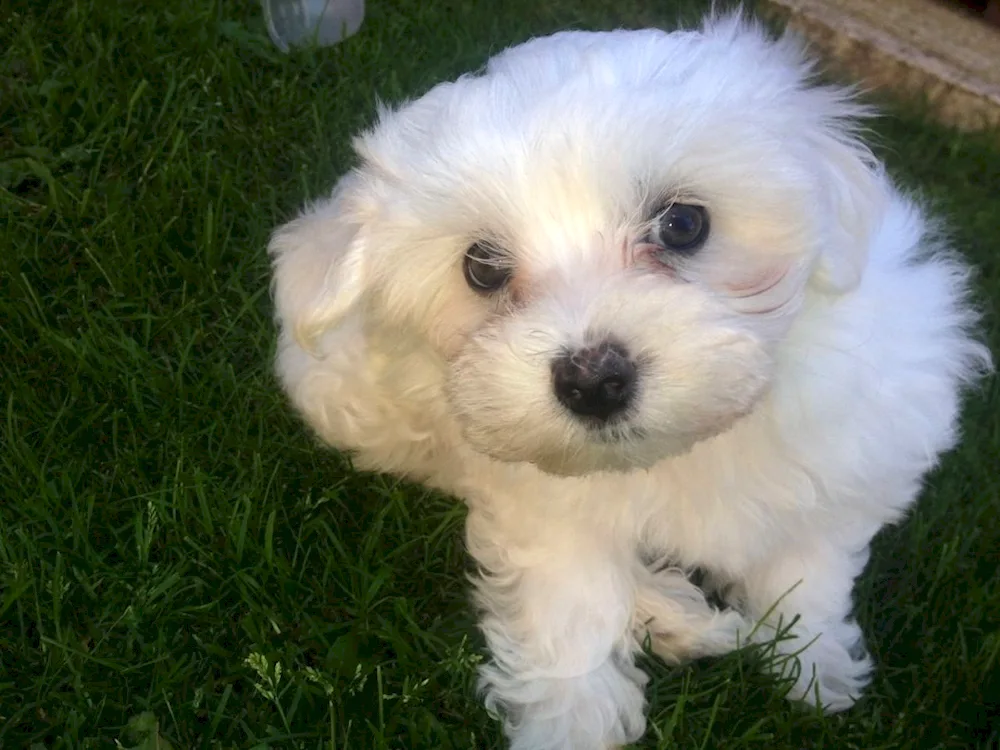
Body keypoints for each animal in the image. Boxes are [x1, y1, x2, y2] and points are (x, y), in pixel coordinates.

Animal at [268, 13, 992, 750]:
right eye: (482, 268)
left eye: (683, 224)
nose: (592, 381)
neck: (687, 445)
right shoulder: (541, 504)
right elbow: (570, 600)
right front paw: (573, 720)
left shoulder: (858, 445)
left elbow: (809, 564)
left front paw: (811, 663)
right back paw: (679, 617)